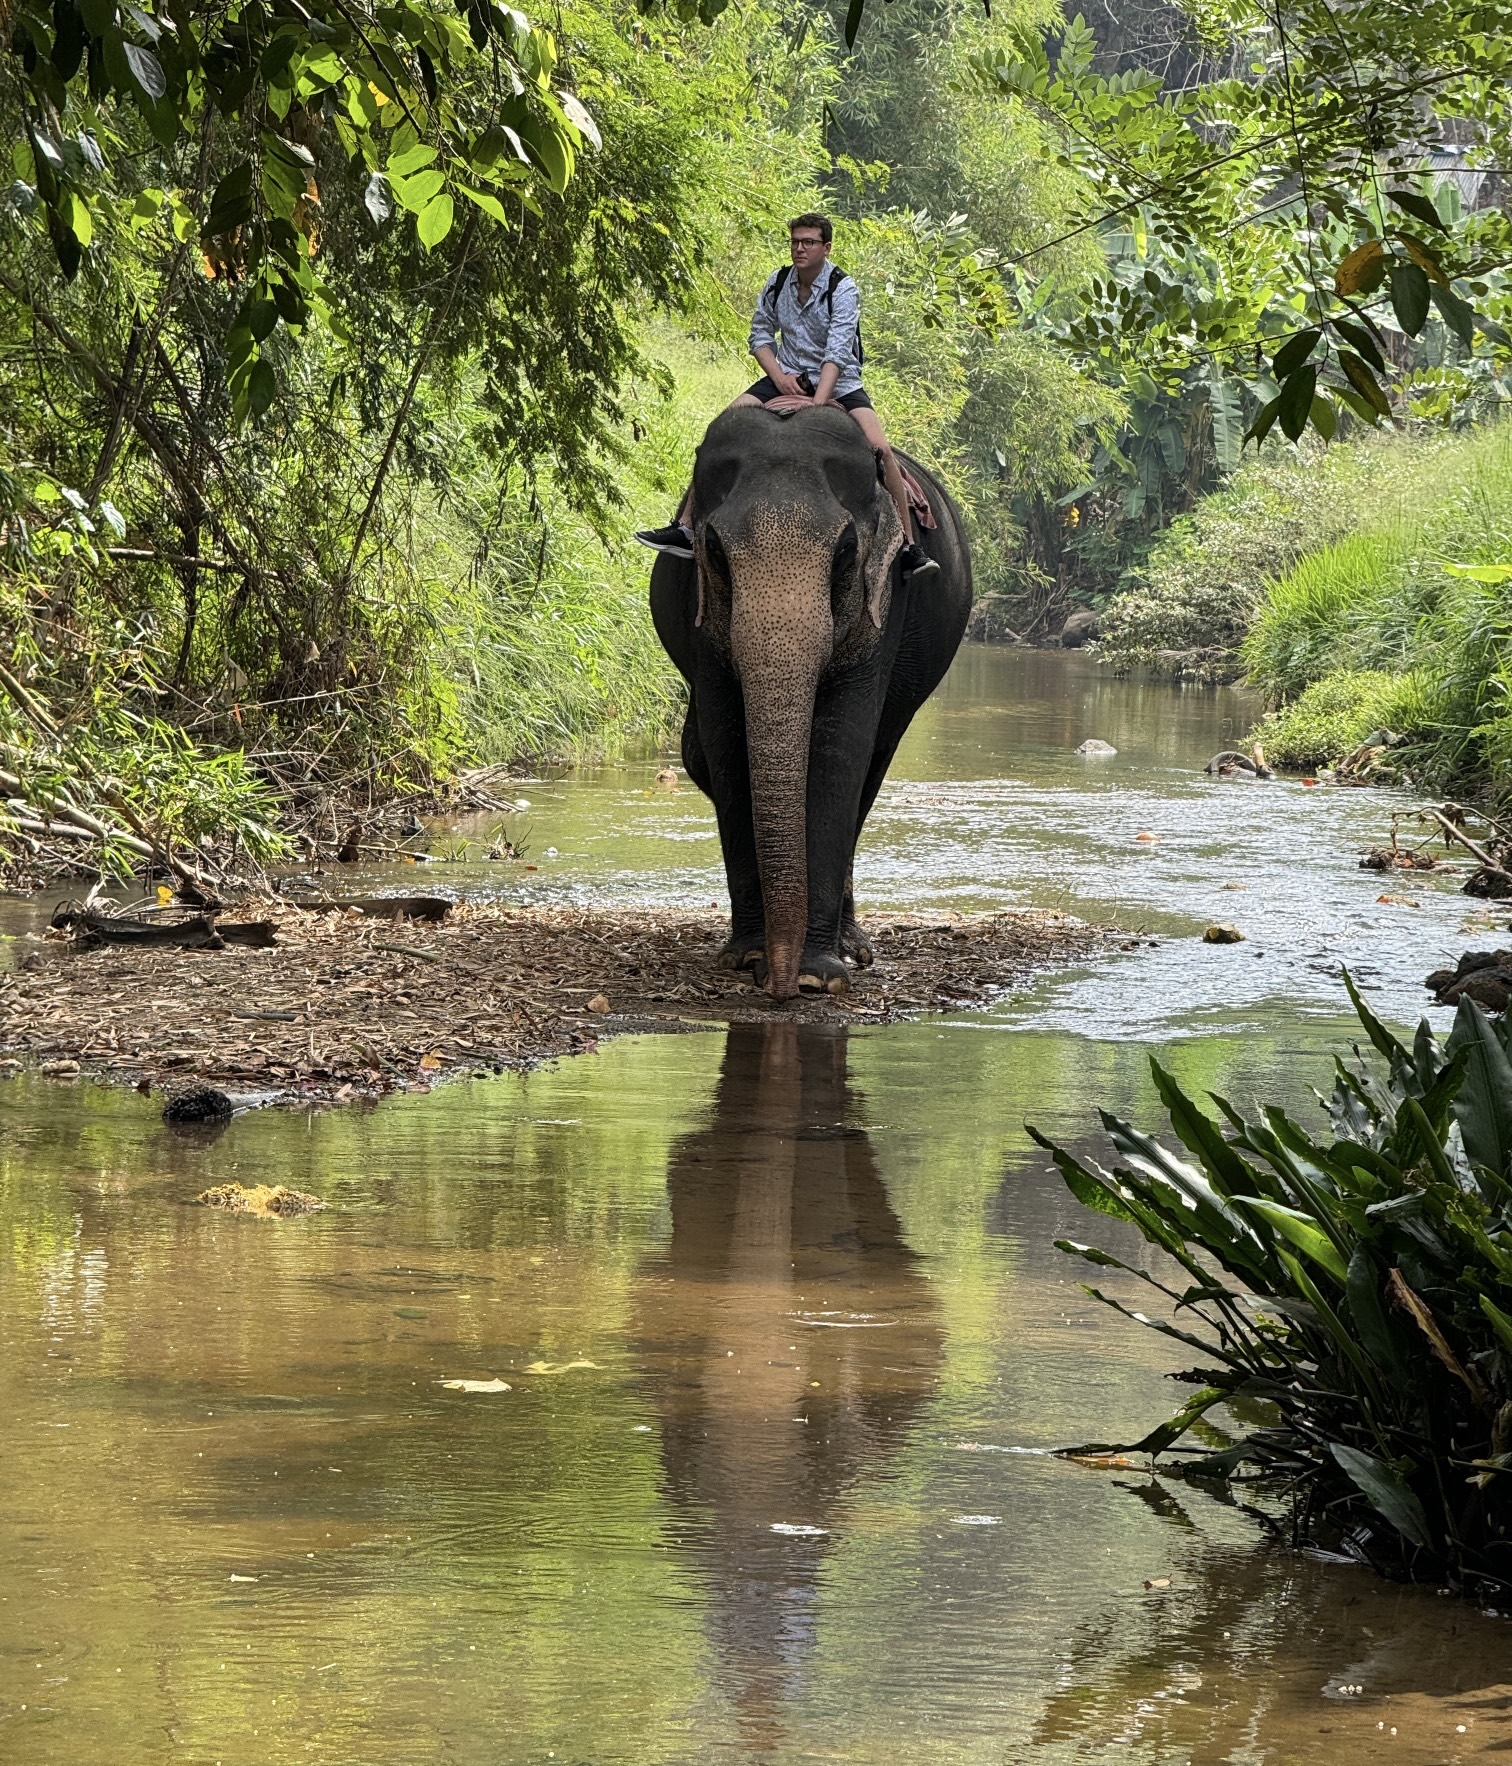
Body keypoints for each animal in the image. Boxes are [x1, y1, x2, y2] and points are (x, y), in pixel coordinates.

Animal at [649, 403, 972, 1001]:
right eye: (714, 553)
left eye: (845, 552)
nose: (778, 989)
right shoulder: (701, 616)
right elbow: (725, 746)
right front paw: (747, 956)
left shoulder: (883, 602)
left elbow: (842, 748)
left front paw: (818, 974)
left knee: (873, 767)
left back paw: (852, 946)